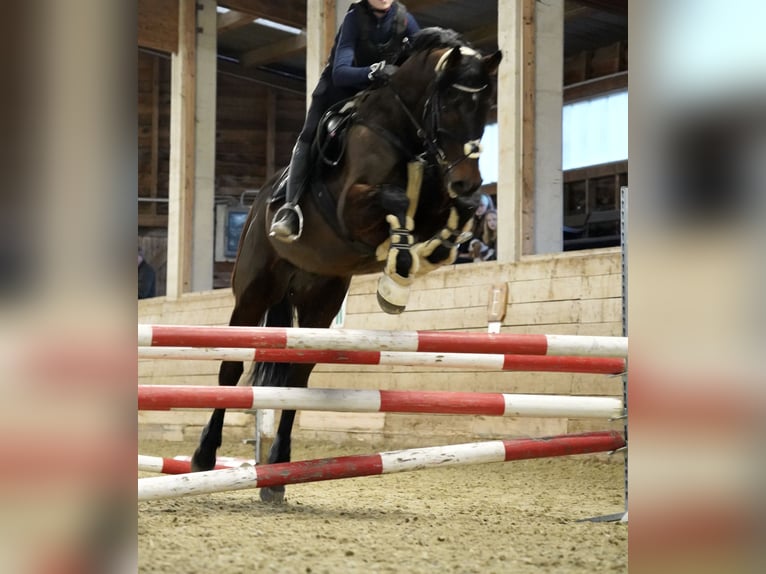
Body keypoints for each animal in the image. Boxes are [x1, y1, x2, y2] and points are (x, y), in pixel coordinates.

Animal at [191, 27, 502, 502]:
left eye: (485, 104)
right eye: (450, 101)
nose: (468, 179)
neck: (404, 135)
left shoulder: (435, 201)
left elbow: (456, 212)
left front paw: (426, 256)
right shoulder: (351, 208)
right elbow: (396, 200)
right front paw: (401, 263)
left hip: (320, 301)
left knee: (296, 382)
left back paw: (277, 474)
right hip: (254, 292)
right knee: (230, 369)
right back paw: (204, 457)